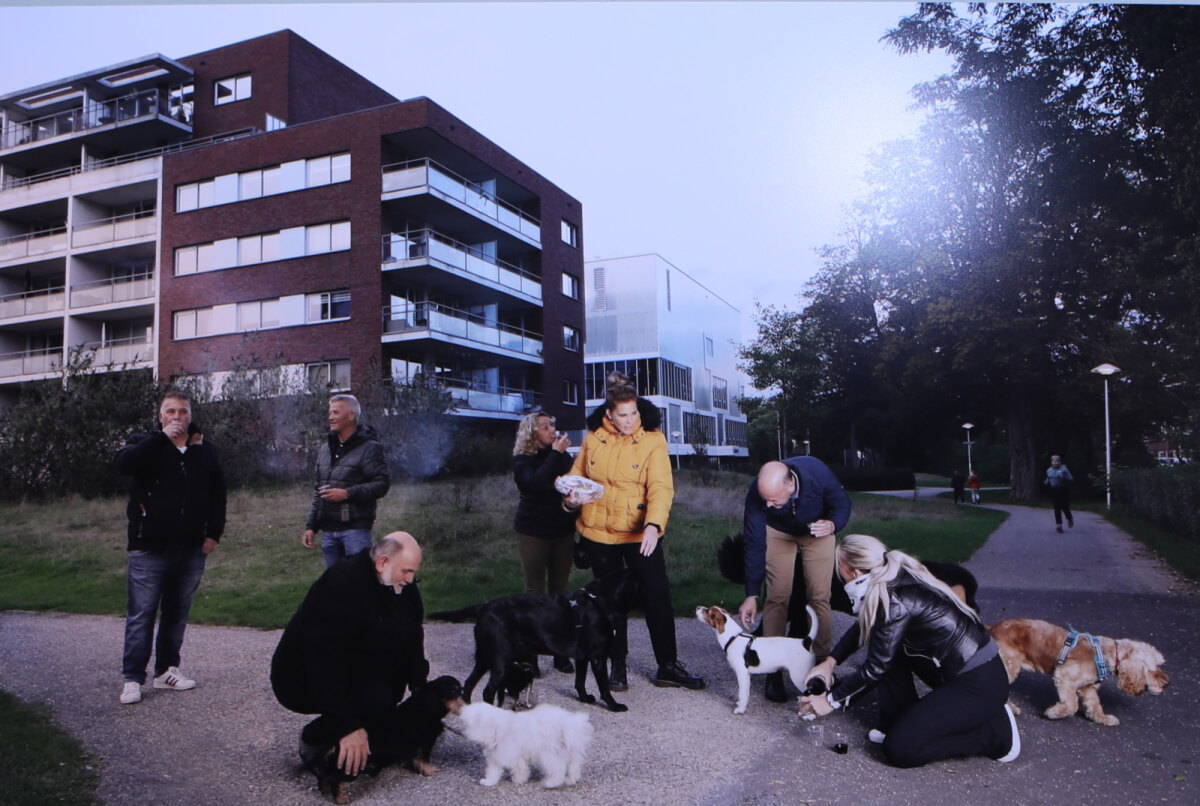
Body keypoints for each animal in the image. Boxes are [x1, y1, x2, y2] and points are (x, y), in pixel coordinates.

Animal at [300, 676, 463, 801]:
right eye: (453, 691)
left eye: (460, 690)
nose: (466, 704)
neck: (424, 706)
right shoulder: (425, 744)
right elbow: (424, 760)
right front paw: (430, 771)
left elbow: (410, 759)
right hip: (352, 766)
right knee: (333, 779)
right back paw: (341, 799)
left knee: (323, 777)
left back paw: (326, 792)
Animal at [429, 573, 638, 710]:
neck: (598, 601)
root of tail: (483, 608)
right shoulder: (597, 657)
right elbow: (604, 686)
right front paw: (614, 706)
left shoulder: (582, 657)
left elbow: (580, 681)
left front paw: (585, 698)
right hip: (499, 660)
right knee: (488, 690)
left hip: (484, 657)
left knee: (469, 684)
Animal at [456, 700, 592, 786]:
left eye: (467, 725)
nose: (461, 731)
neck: (496, 728)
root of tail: (568, 724)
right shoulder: (498, 755)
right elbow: (494, 771)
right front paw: (489, 781)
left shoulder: (509, 752)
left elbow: (516, 767)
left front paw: (517, 780)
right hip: (570, 751)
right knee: (573, 767)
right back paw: (571, 780)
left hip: (548, 754)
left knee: (558, 769)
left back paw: (550, 783)